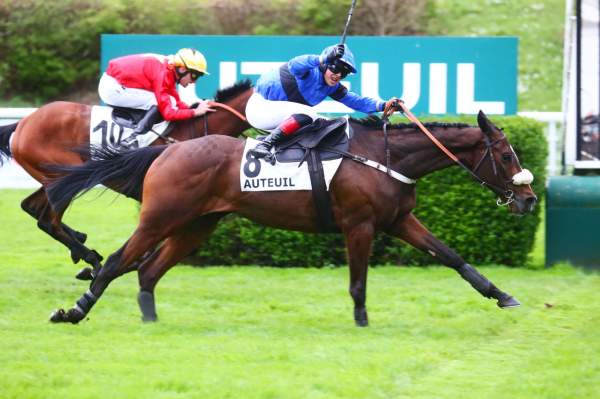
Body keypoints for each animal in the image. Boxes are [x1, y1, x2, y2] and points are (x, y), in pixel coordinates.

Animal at [0, 79, 253, 276]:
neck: (196, 130)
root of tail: (23, 122)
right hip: (64, 176)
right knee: (48, 221)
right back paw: (91, 259)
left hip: (53, 178)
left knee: (31, 207)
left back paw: (80, 243)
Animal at [45, 111, 536, 326]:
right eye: (506, 155)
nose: (529, 199)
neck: (384, 156)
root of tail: (167, 150)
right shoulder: (359, 225)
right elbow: (358, 280)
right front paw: (362, 321)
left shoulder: (398, 221)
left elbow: (452, 256)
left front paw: (503, 295)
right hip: (160, 218)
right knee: (116, 262)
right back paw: (74, 310)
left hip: (197, 225)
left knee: (147, 270)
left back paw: (150, 319)